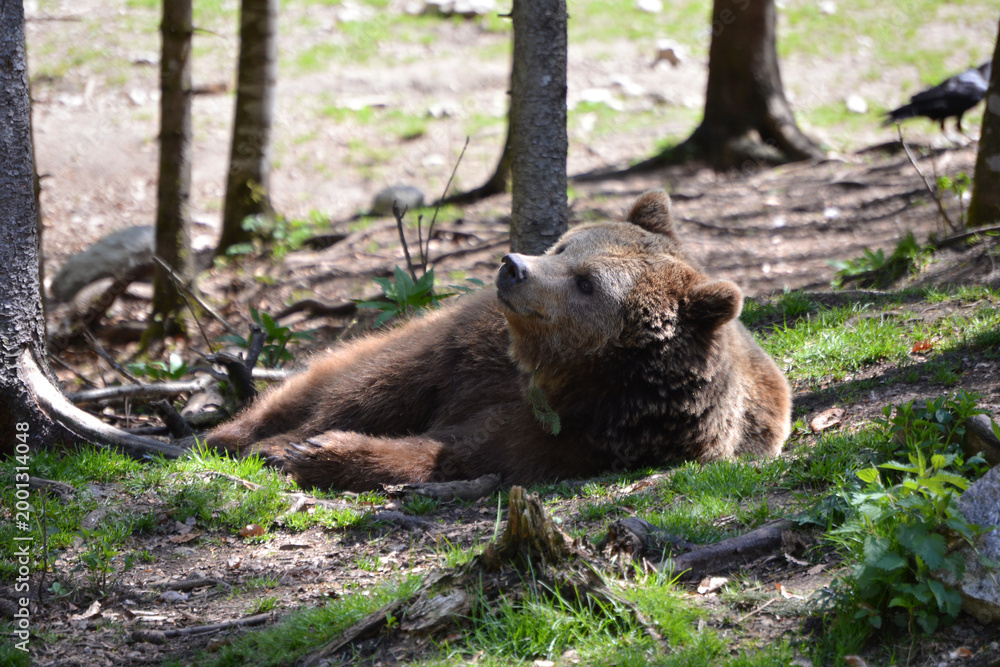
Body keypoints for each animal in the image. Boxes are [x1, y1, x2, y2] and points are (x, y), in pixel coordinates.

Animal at [205, 190, 791, 491]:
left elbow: (461, 451)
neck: (550, 370)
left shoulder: (583, 434)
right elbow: (376, 389)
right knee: (326, 376)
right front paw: (284, 441)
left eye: (588, 283)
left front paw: (318, 451)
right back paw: (234, 429)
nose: (513, 265)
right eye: (565, 245)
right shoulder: (472, 350)